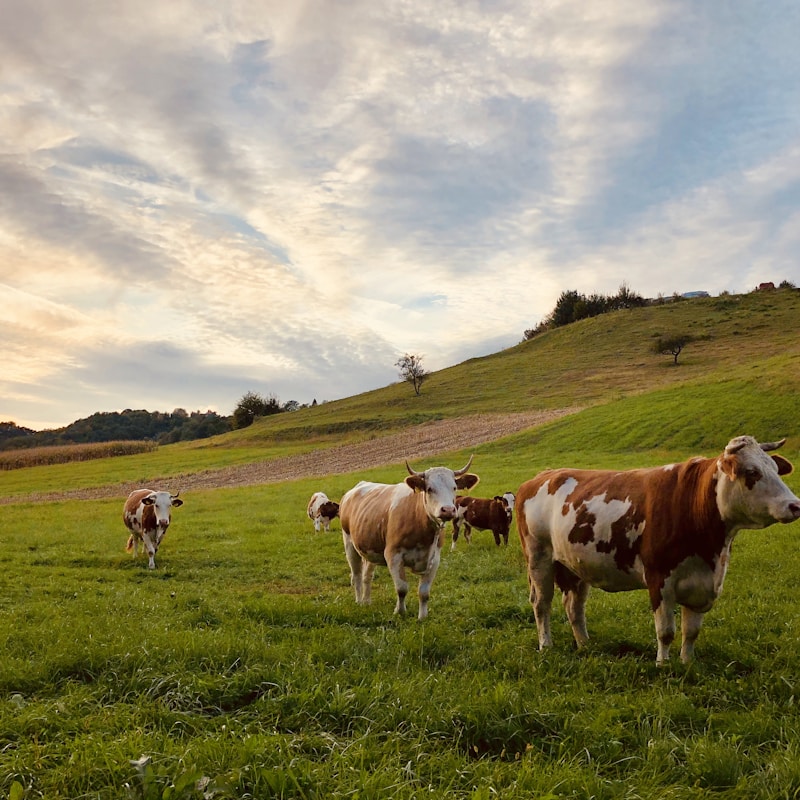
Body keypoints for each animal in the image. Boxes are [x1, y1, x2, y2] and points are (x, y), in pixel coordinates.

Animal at [339, 457, 480, 619]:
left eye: (454, 487)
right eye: (429, 488)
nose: (448, 510)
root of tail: (357, 487)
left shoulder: (434, 559)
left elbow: (424, 592)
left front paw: (422, 617)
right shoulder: (393, 555)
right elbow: (402, 588)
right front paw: (400, 612)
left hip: (370, 548)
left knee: (367, 576)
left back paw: (367, 601)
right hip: (349, 544)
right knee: (356, 575)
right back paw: (359, 601)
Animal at [515, 436, 800, 665]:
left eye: (776, 469)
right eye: (752, 472)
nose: (795, 505)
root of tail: (541, 476)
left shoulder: (704, 585)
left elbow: (691, 631)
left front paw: (687, 664)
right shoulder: (659, 579)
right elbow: (665, 631)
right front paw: (662, 665)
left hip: (575, 564)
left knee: (574, 606)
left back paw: (585, 645)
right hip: (539, 557)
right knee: (541, 603)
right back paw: (546, 645)